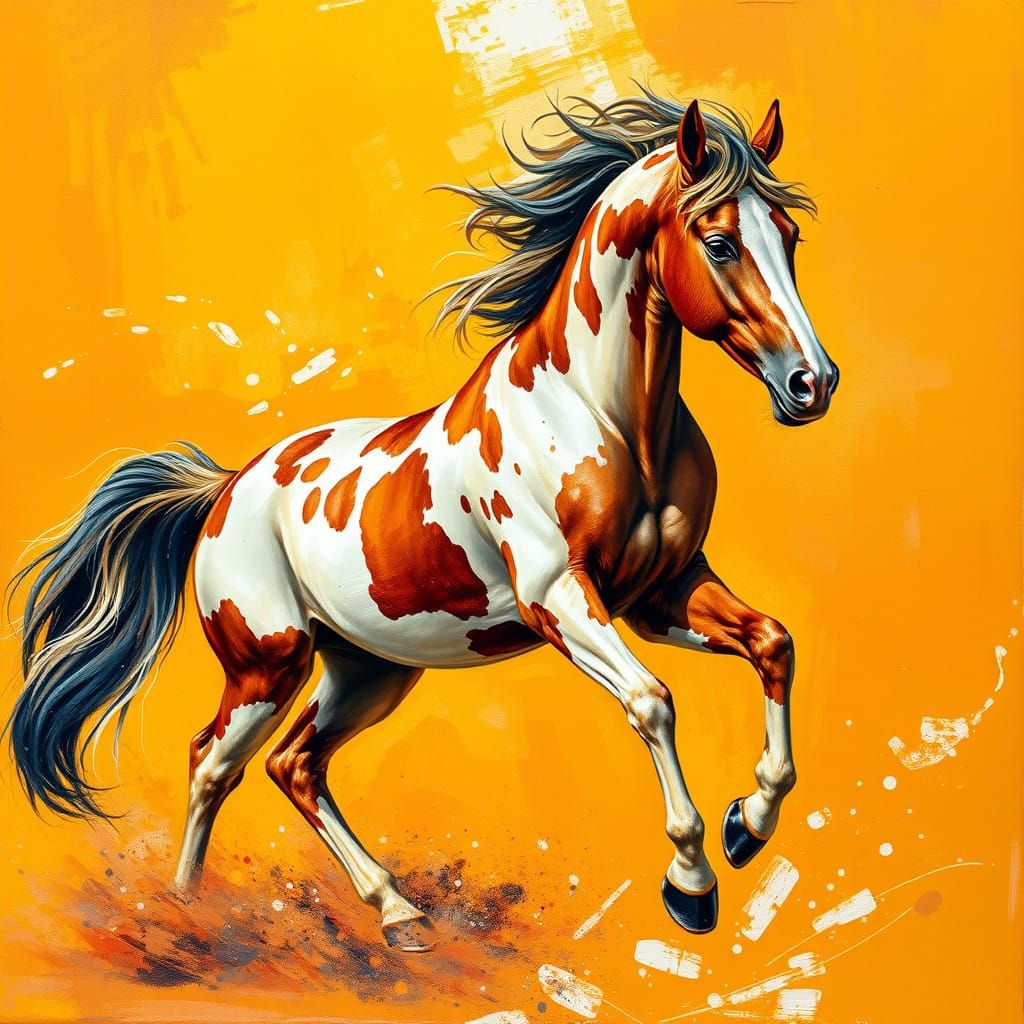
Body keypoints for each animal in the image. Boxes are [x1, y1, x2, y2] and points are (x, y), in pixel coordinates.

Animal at [6, 90, 838, 949]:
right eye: (719, 242)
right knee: (212, 762)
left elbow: (773, 641)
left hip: (367, 671)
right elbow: (651, 700)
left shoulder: (659, 593)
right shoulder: (559, 599)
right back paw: (188, 917)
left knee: (292, 765)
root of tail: (226, 489)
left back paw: (398, 912)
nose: (813, 383)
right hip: (268, 665)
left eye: (790, 234)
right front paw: (692, 883)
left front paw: (750, 823)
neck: (601, 415)